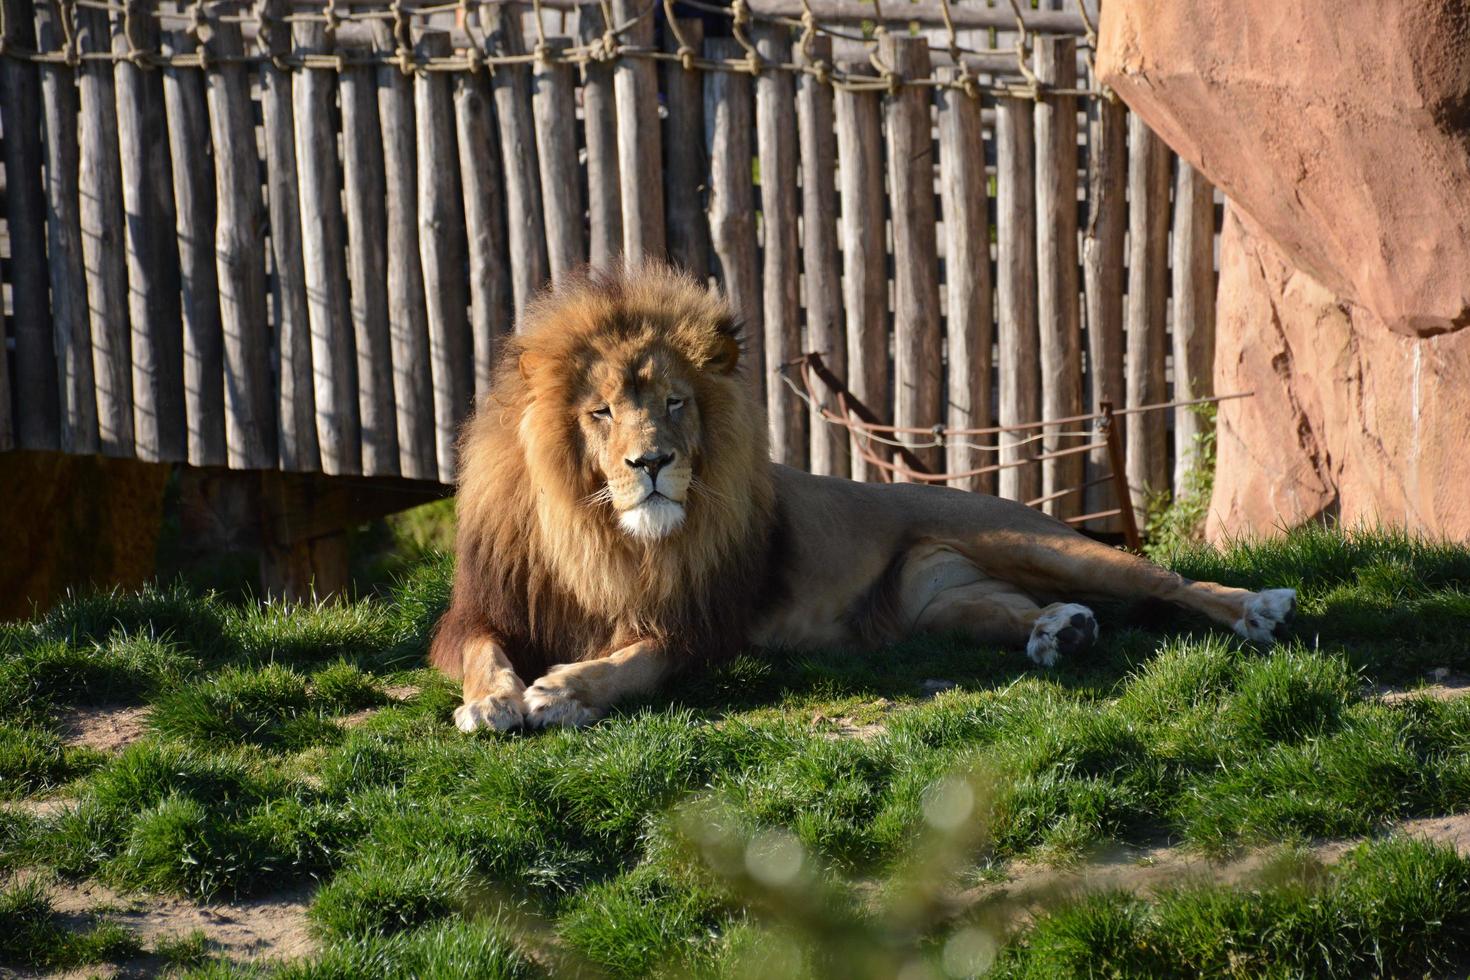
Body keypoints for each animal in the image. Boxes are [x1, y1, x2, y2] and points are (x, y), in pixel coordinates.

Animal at [429, 264, 1299, 731]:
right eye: (602, 411)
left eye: (675, 402)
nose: (652, 462)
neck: (601, 534)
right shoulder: (484, 609)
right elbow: (481, 654)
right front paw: (492, 702)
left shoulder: (700, 627)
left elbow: (633, 660)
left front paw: (561, 692)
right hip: (940, 606)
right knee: (1016, 610)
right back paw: (1064, 632)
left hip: (1032, 540)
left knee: (1162, 578)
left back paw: (1257, 609)